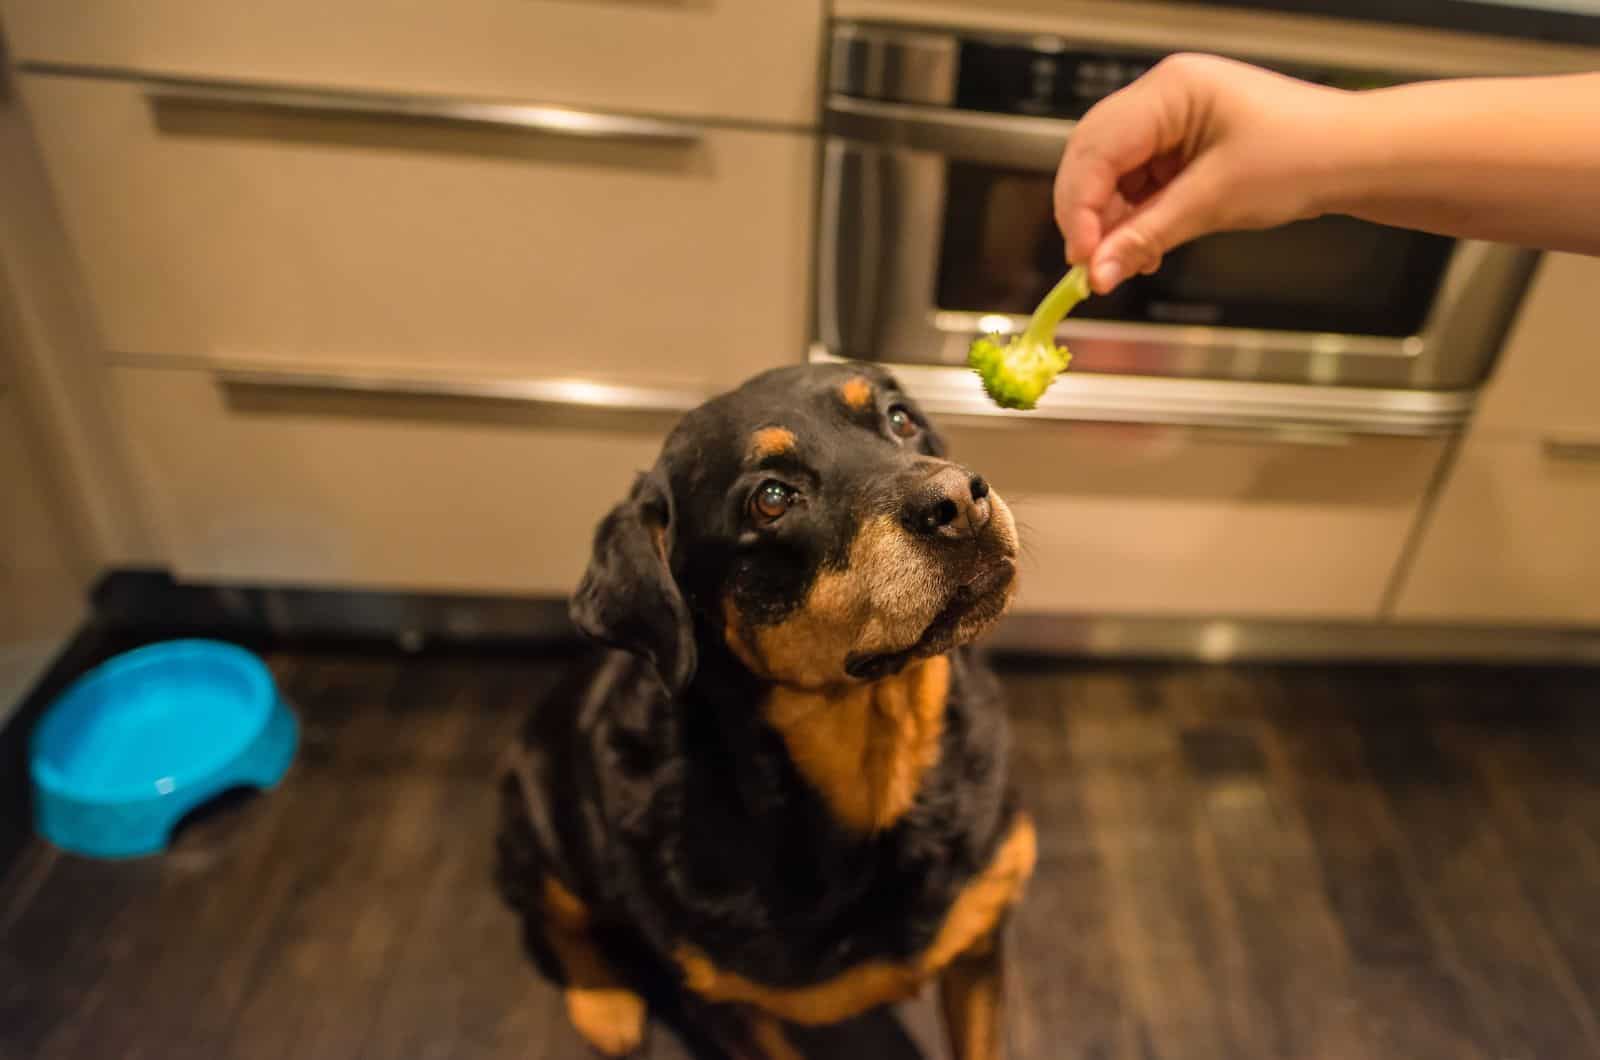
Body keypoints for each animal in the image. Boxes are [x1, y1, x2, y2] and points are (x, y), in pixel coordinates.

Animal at [492, 365, 1030, 1060]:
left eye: (901, 419)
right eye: (771, 499)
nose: (959, 502)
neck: (878, 769)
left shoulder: (980, 935)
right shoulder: (726, 1004)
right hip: (535, 821)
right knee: (554, 915)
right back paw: (604, 1003)